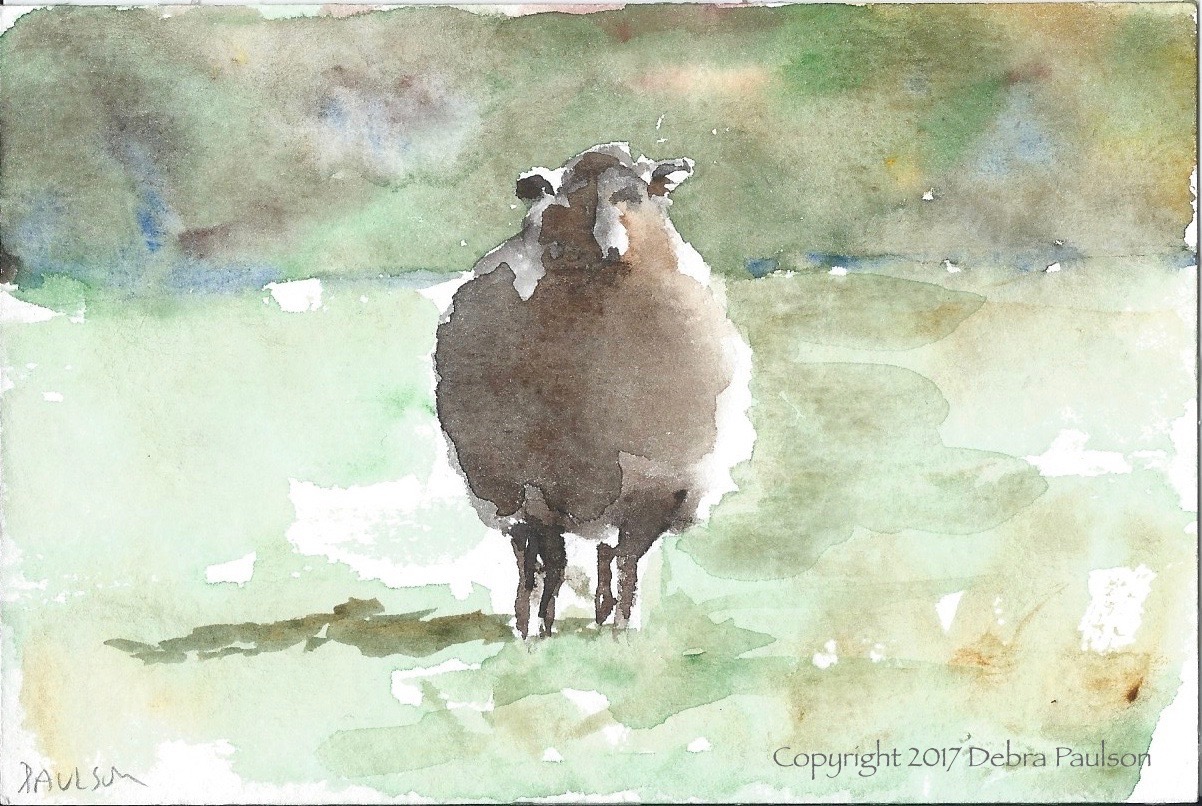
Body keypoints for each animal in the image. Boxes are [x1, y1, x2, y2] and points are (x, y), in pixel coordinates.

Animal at [433, 143, 752, 638]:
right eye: (576, 199)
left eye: (637, 195)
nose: (612, 247)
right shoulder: (533, 490)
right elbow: (548, 561)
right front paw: (537, 628)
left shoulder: (655, 488)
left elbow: (627, 561)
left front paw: (622, 626)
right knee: (540, 558)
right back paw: (534, 621)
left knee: (604, 554)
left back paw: (604, 617)